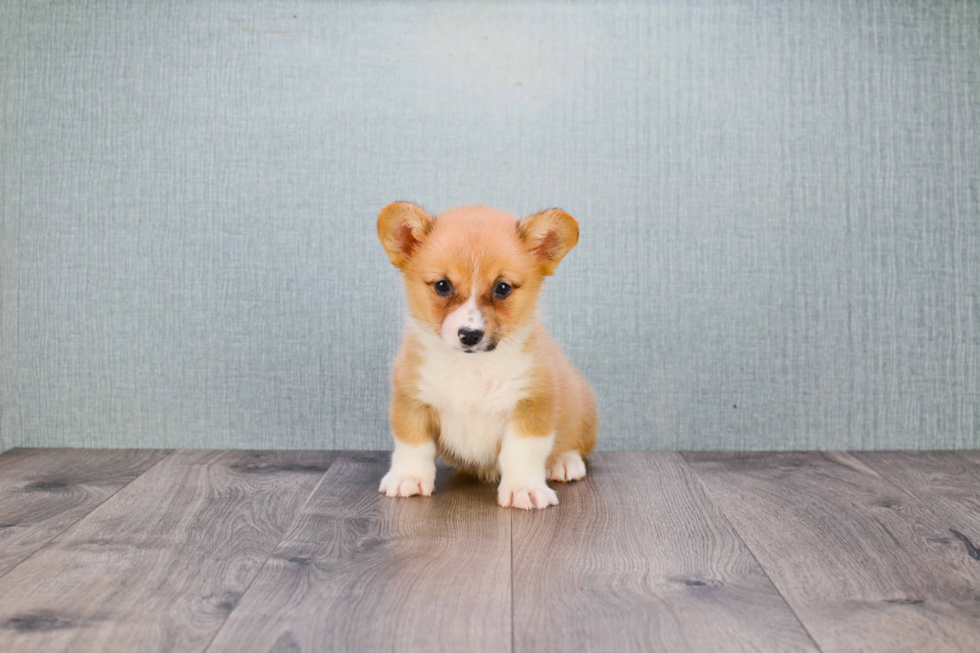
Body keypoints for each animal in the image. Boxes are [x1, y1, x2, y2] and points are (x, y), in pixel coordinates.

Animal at [378, 204, 596, 510]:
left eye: (502, 288)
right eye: (442, 285)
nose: (470, 335)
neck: (470, 368)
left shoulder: (531, 406)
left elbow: (522, 453)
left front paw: (524, 489)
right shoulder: (412, 402)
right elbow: (413, 446)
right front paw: (407, 478)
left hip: (582, 409)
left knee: (574, 445)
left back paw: (564, 462)